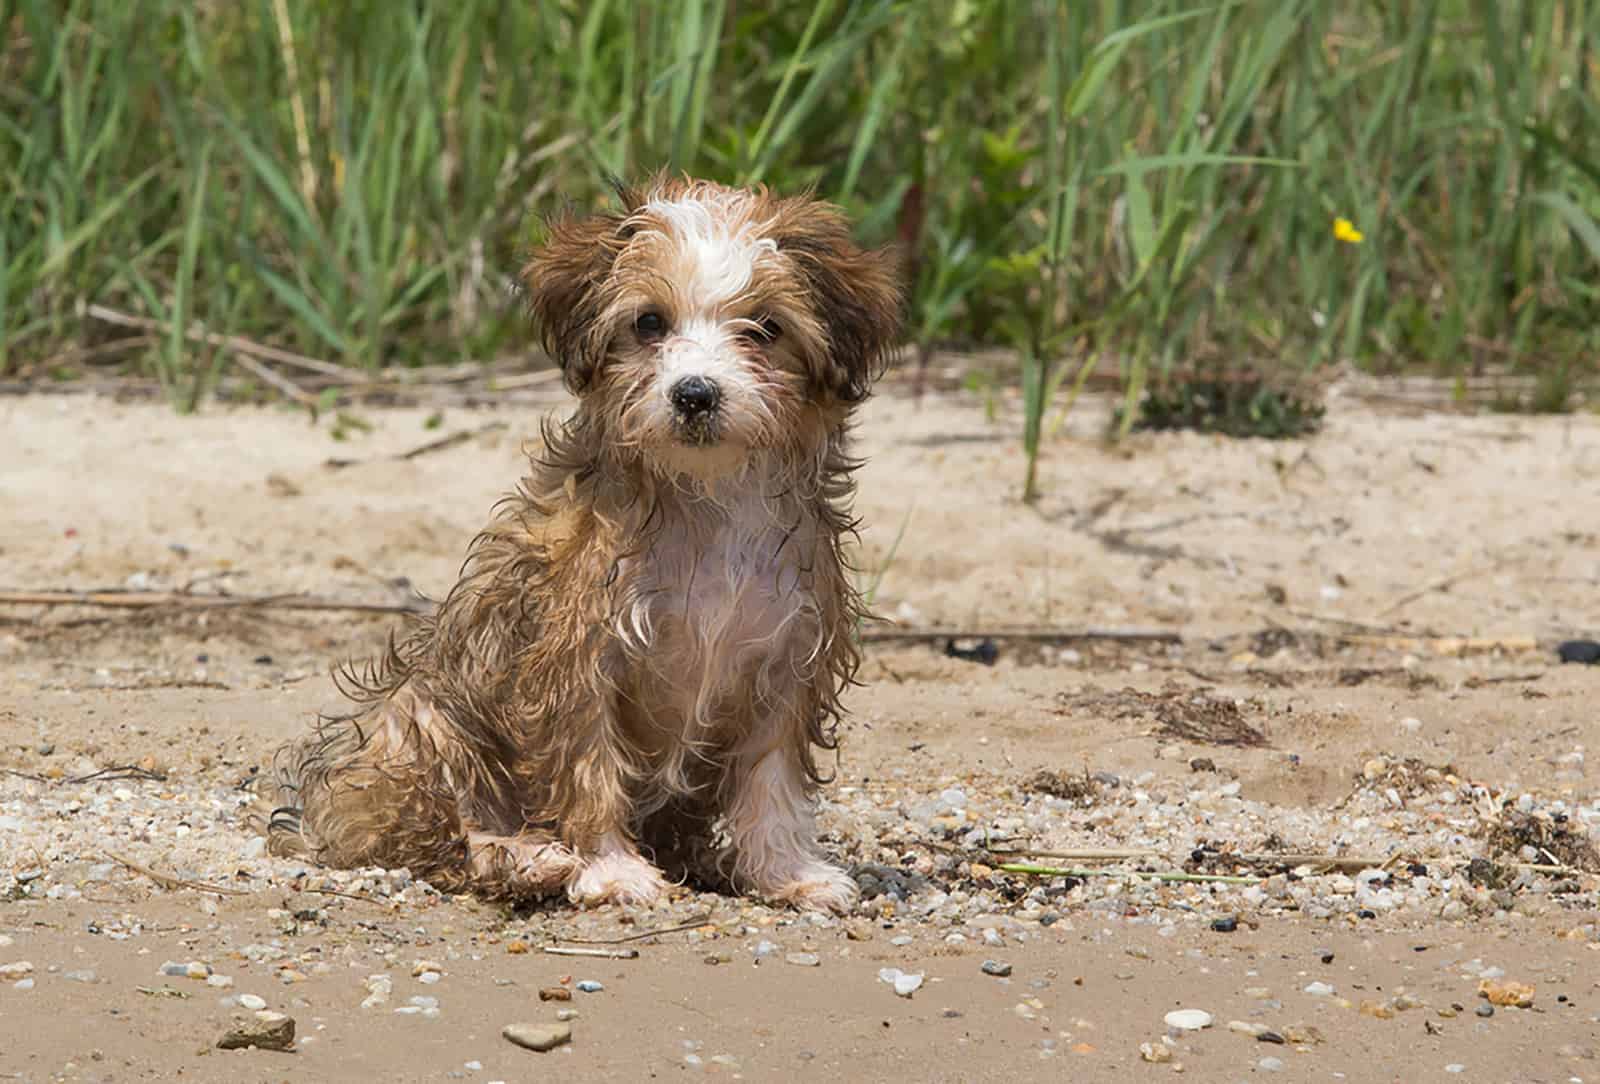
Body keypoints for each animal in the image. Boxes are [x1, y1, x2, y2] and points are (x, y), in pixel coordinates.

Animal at [270, 174, 908, 914]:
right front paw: (611, 868)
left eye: (767, 328)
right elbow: (588, 768)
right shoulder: (575, 656)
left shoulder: (788, 659)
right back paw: (528, 859)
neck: (710, 498)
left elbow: (770, 782)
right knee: (445, 835)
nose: (695, 394)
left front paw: (787, 872)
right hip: (421, 723)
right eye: (649, 323)